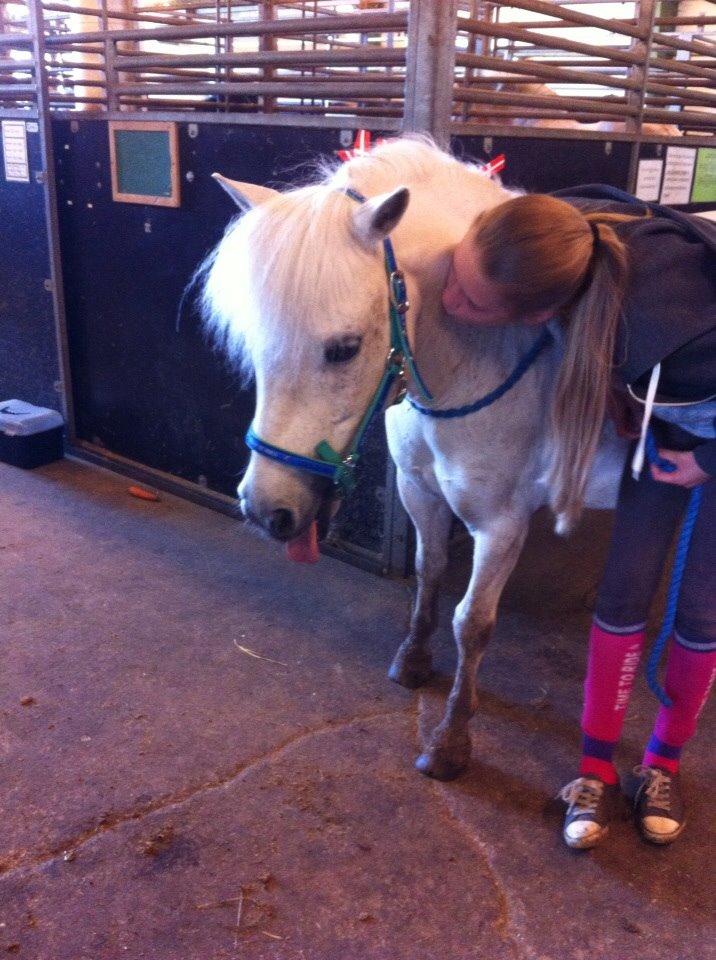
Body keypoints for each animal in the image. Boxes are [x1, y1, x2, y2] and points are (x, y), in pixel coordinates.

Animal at [203, 135, 628, 780]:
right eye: (253, 342)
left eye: (344, 348)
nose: (265, 510)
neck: (475, 365)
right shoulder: (418, 490)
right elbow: (429, 574)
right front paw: (413, 661)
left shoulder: (501, 526)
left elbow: (472, 623)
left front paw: (451, 739)